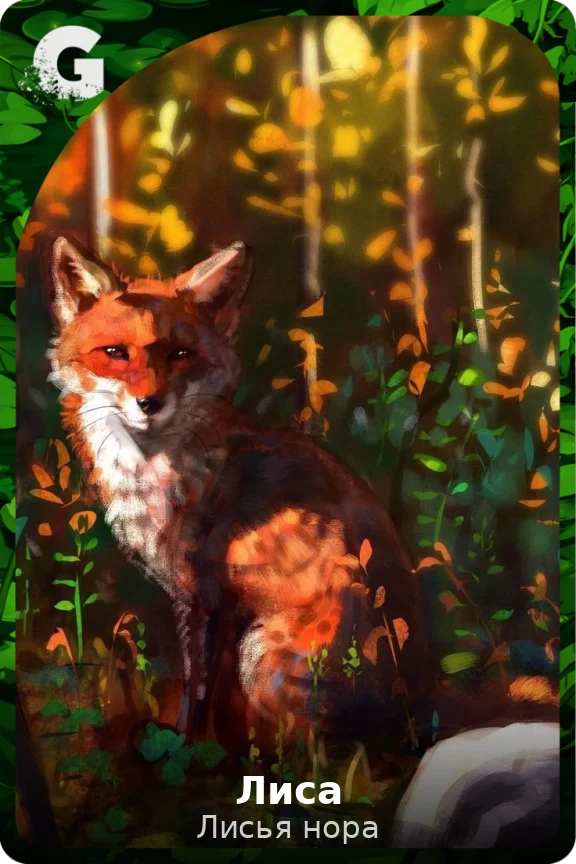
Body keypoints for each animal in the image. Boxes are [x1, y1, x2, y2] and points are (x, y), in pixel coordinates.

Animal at [45, 234, 431, 751]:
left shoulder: (205, 598)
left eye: (181, 355)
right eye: (115, 352)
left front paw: (189, 748)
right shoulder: (208, 606)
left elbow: (198, 691)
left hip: (263, 652)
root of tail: (416, 713)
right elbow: (211, 693)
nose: (150, 403)